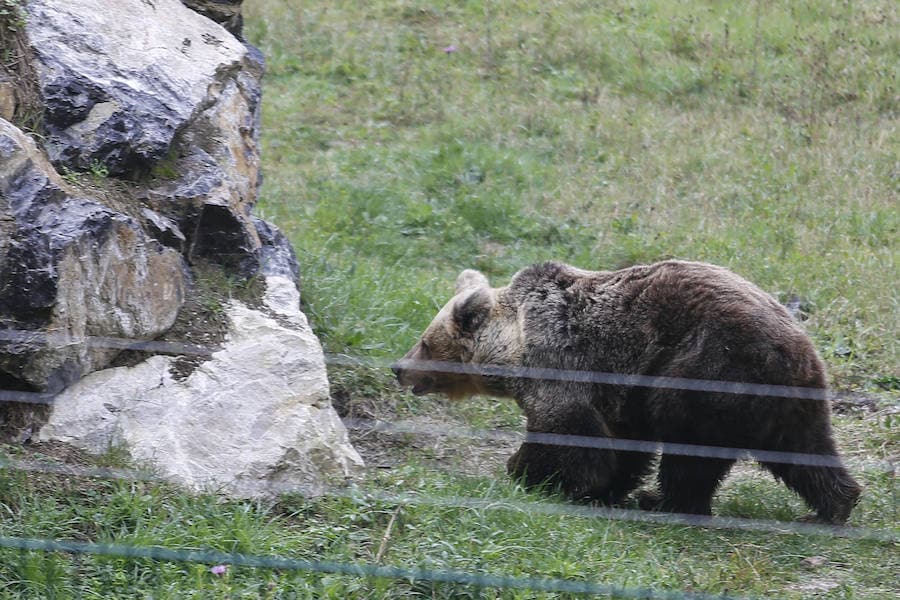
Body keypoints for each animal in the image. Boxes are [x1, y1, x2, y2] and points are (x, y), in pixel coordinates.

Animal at [394, 260, 864, 524]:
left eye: (425, 342)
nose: (399, 368)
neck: (514, 347)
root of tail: (793, 347)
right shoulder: (619, 393)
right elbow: (623, 446)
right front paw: (602, 487)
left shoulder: (560, 367)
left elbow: (569, 436)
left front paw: (527, 472)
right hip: (789, 399)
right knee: (804, 450)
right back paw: (835, 504)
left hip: (703, 372)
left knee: (692, 454)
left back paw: (663, 501)